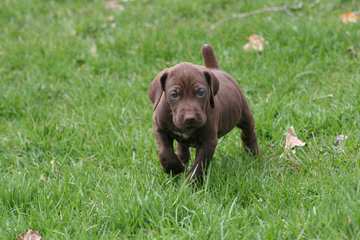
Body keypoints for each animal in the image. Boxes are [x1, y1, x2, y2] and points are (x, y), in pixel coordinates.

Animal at [148, 43, 258, 180]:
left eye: (201, 92)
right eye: (174, 94)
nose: (190, 118)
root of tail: (215, 69)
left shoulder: (208, 141)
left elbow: (199, 164)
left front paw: (192, 182)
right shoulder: (160, 129)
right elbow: (164, 152)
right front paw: (175, 168)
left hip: (243, 114)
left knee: (248, 132)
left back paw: (253, 152)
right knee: (182, 147)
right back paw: (182, 160)